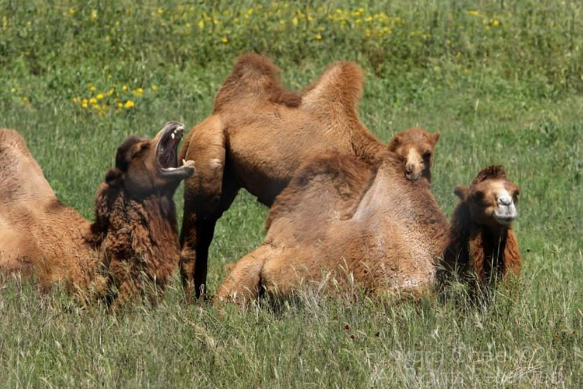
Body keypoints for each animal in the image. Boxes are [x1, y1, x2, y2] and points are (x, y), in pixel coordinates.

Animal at [180, 51, 440, 300]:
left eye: (428, 153)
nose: (413, 172)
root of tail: (209, 118)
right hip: (208, 160)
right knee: (193, 241)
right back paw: (194, 303)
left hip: (228, 178)